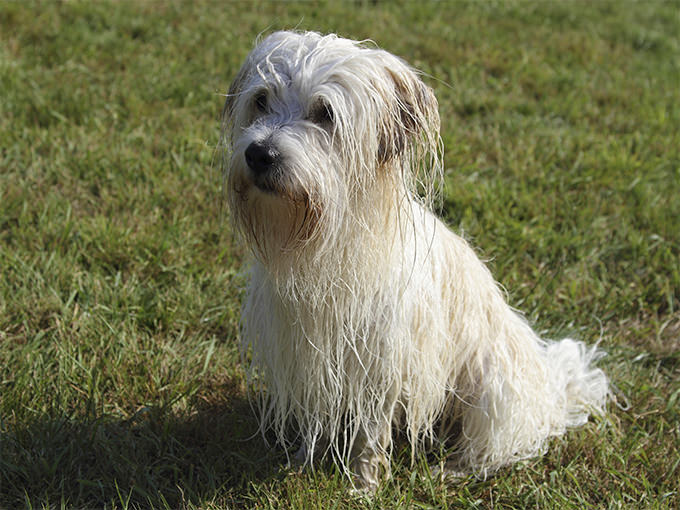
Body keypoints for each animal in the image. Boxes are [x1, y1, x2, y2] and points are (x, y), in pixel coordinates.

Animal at [220, 30, 608, 490]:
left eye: (325, 114)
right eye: (261, 100)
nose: (259, 154)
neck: (327, 240)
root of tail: (553, 392)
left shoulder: (381, 358)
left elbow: (371, 431)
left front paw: (364, 484)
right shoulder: (308, 352)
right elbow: (319, 414)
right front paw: (304, 461)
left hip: (492, 389)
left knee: (493, 448)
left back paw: (453, 470)